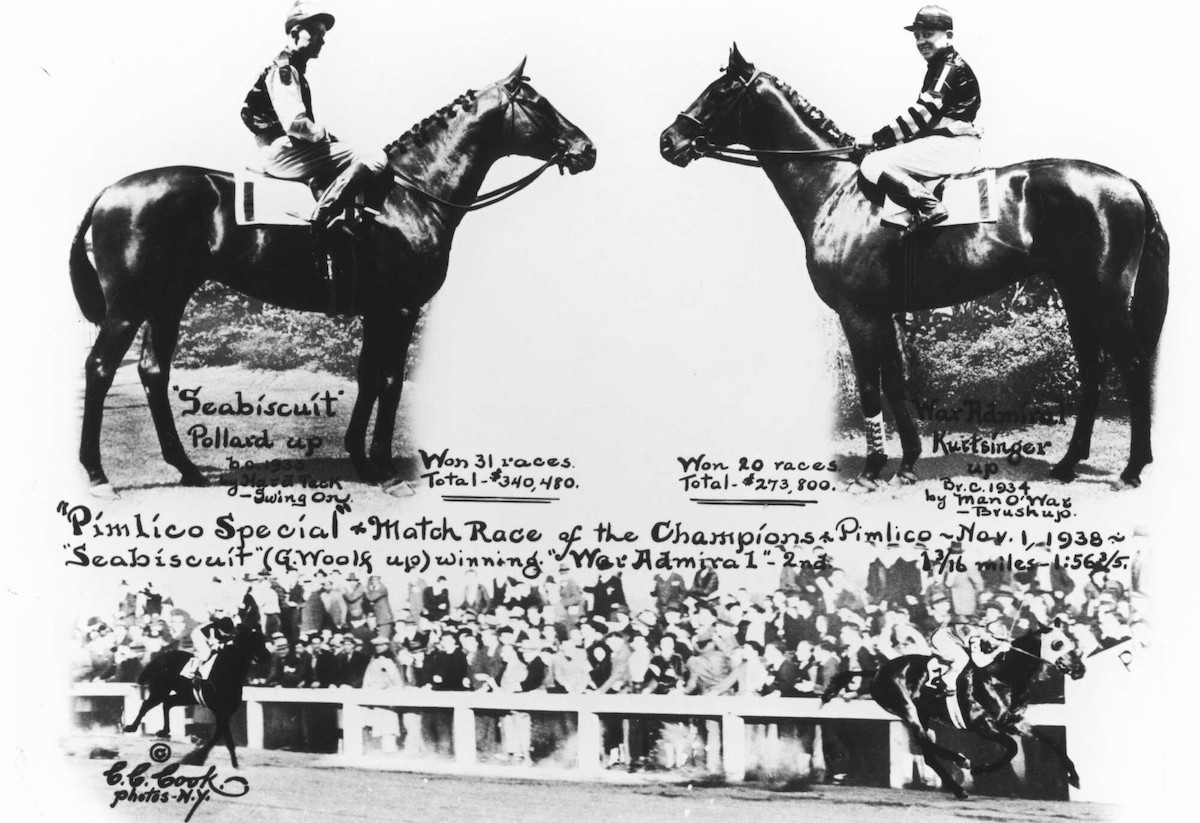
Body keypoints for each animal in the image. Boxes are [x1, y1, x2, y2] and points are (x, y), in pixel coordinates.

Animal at [70, 61, 595, 496]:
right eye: (538, 103)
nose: (586, 149)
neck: (406, 196)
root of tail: (109, 192)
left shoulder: (377, 313)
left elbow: (367, 378)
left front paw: (362, 460)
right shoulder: (400, 310)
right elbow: (389, 380)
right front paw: (387, 470)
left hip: (168, 301)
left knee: (152, 371)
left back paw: (188, 469)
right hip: (128, 307)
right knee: (100, 368)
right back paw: (98, 476)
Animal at [121, 597, 270, 772]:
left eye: (262, 639)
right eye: (252, 641)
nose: (267, 656)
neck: (226, 672)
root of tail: (162, 656)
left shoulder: (226, 712)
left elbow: (225, 739)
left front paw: (233, 763)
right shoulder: (220, 711)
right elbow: (219, 737)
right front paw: (196, 758)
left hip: (186, 696)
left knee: (167, 703)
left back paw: (164, 731)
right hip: (160, 689)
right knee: (147, 704)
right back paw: (131, 727)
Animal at [662, 46, 1166, 489]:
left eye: (721, 90)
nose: (669, 140)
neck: (837, 190)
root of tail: (1125, 182)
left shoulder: (857, 313)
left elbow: (870, 385)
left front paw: (871, 470)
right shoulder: (883, 313)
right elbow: (895, 382)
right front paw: (905, 463)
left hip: (1105, 300)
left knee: (1134, 365)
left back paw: (1132, 468)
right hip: (1078, 298)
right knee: (1093, 369)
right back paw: (1067, 464)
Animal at [825, 623, 1089, 801]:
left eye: (1071, 641)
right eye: (1057, 643)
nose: (1080, 669)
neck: (1003, 674)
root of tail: (877, 671)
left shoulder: (1015, 721)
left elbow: (1052, 742)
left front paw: (1075, 778)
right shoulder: (981, 724)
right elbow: (1012, 747)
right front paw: (981, 769)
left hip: (922, 714)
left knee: (928, 753)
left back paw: (958, 779)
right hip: (907, 709)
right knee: (927, 746)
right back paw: (961, 771)